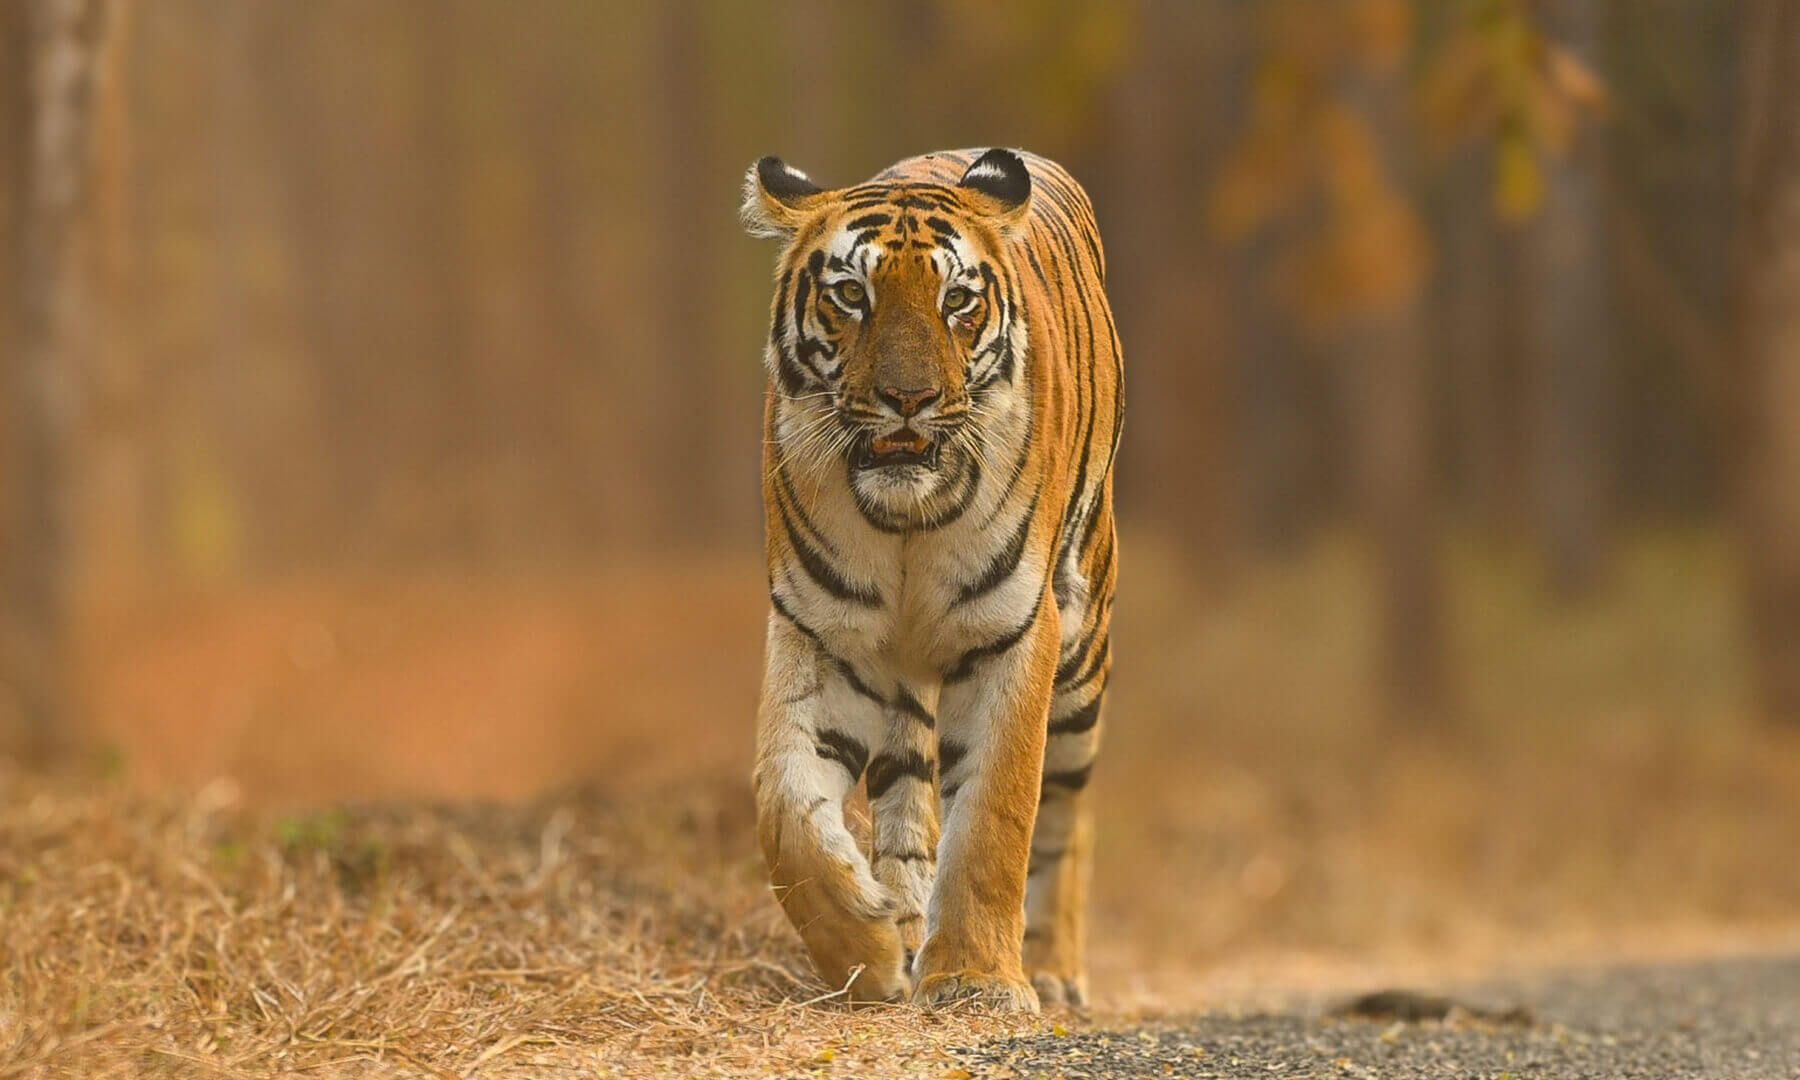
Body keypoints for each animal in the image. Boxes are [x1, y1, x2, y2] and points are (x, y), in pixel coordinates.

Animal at [738, 145, 1116, 1015]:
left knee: (1069, 809)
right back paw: (906, 924)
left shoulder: (1014, 631)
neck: (905, 518)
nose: (907, 400)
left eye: (957, 302)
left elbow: (994, 818)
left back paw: (1054, 967)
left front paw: (978, 982)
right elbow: (785, 804)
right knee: (906, 793)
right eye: (852, 294)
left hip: (1084, 650)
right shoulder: (822, 633)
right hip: (900, 674)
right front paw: (868, 952)